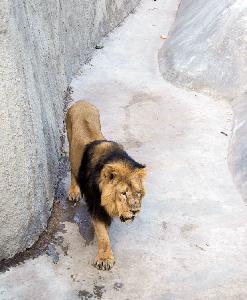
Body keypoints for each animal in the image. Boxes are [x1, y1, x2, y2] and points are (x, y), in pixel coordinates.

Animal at [65, 100, 147, 270]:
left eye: (138, 192)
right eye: (123, 193)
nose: (135, 211)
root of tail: (81, 101)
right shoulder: (96, 206)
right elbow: (102, 234)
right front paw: (104, 259)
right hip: (70, 145)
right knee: (72, 170)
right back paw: (74, 192)